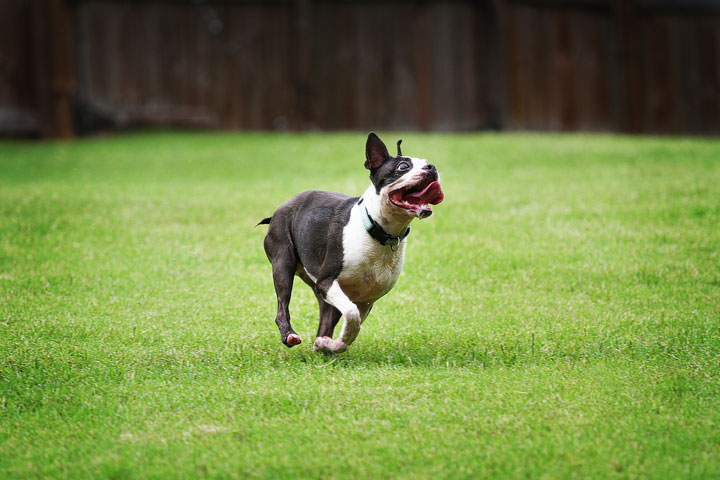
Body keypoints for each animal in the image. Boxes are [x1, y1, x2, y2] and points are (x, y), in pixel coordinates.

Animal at [256, 133, 442, 354]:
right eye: (403, 166)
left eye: (427, 162)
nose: (431, 167)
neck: (378, 231)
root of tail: (280, 209)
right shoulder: (328, 283)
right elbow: (352, 317)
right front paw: (332, 344)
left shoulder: (365, 300)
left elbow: (352, 329)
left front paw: (328, 345)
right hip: (283, 263)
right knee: (282, 306)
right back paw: (289, 335)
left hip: (320, 291)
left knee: (325, 321)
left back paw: (320, 345)